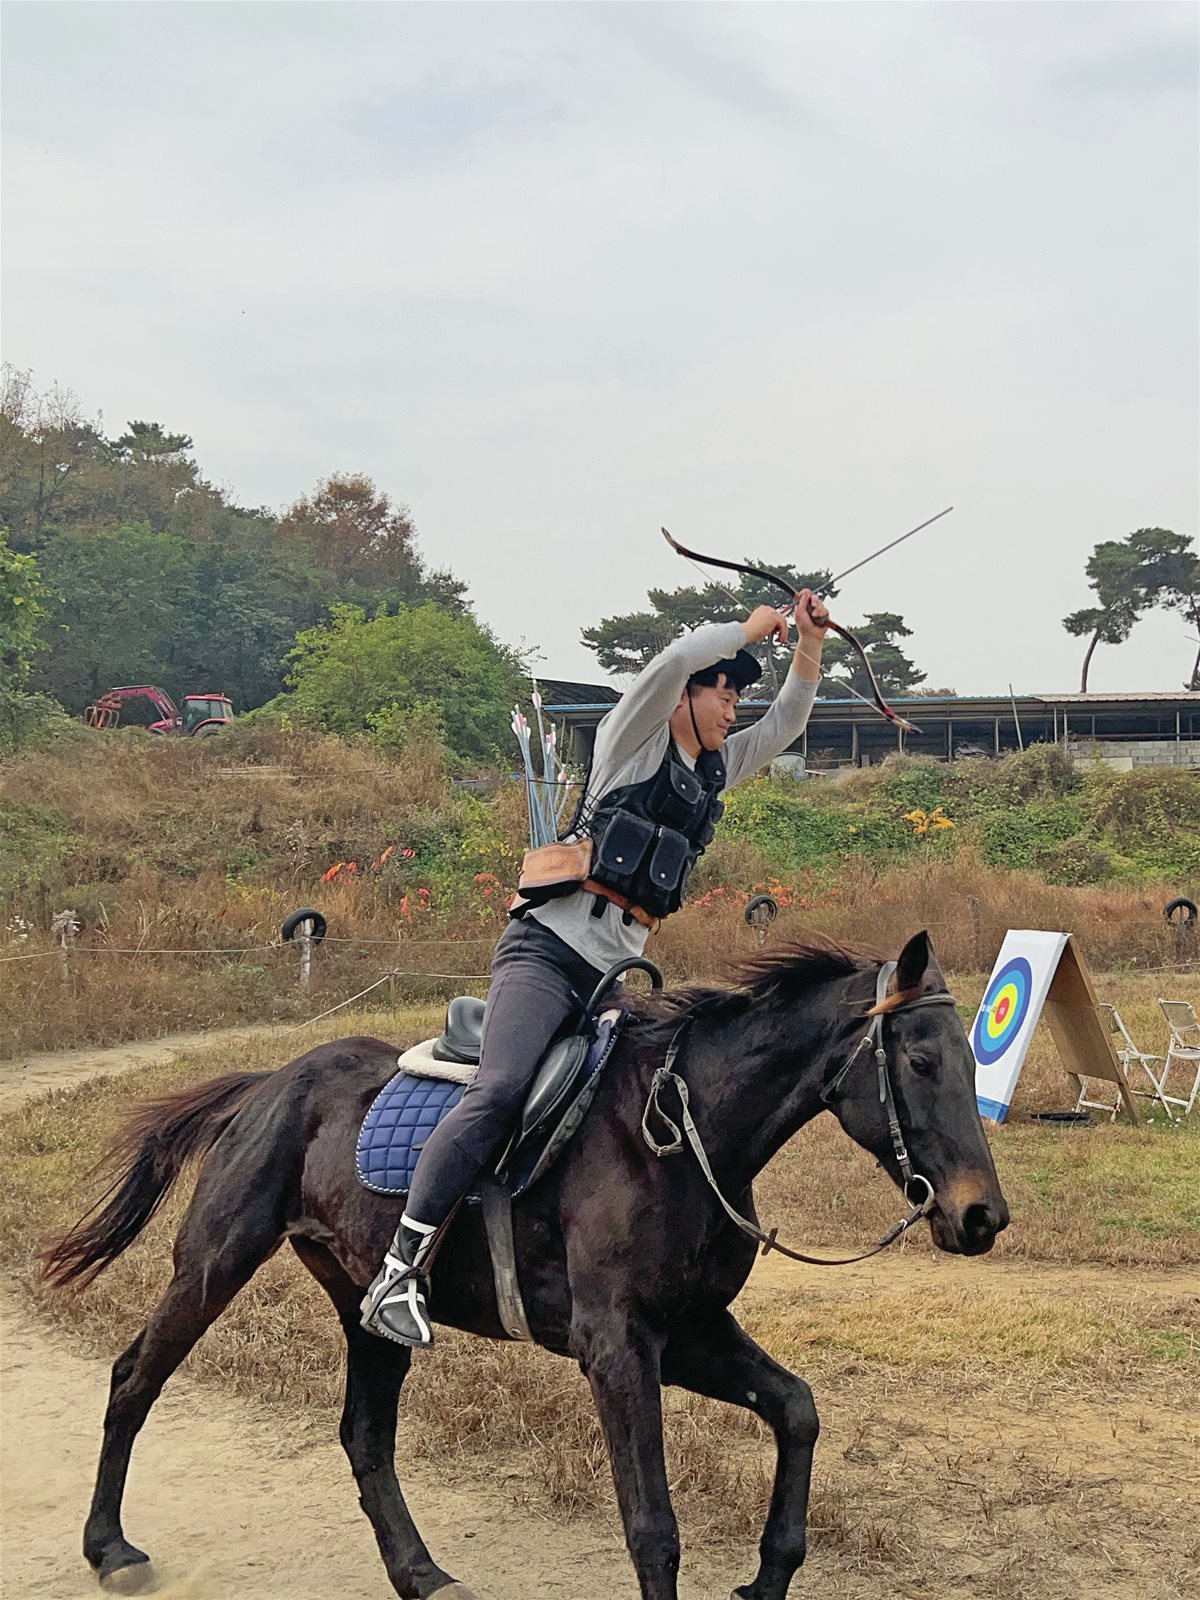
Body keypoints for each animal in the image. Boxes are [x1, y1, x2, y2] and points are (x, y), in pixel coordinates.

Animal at [44, 934, 1004, 1593]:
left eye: (973, 1058)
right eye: (922, 1060)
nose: (982, 1215)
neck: (678, 1134)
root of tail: (270, 1084)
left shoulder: (690, 1332)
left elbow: (798, 1412)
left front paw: (766, 1576)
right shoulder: (616, 1347)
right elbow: (653, 1526)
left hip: (366, 1310)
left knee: (365, 1438)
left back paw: (422, 1574)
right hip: (214, 1262)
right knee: (135, 1379)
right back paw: (109, 1548)